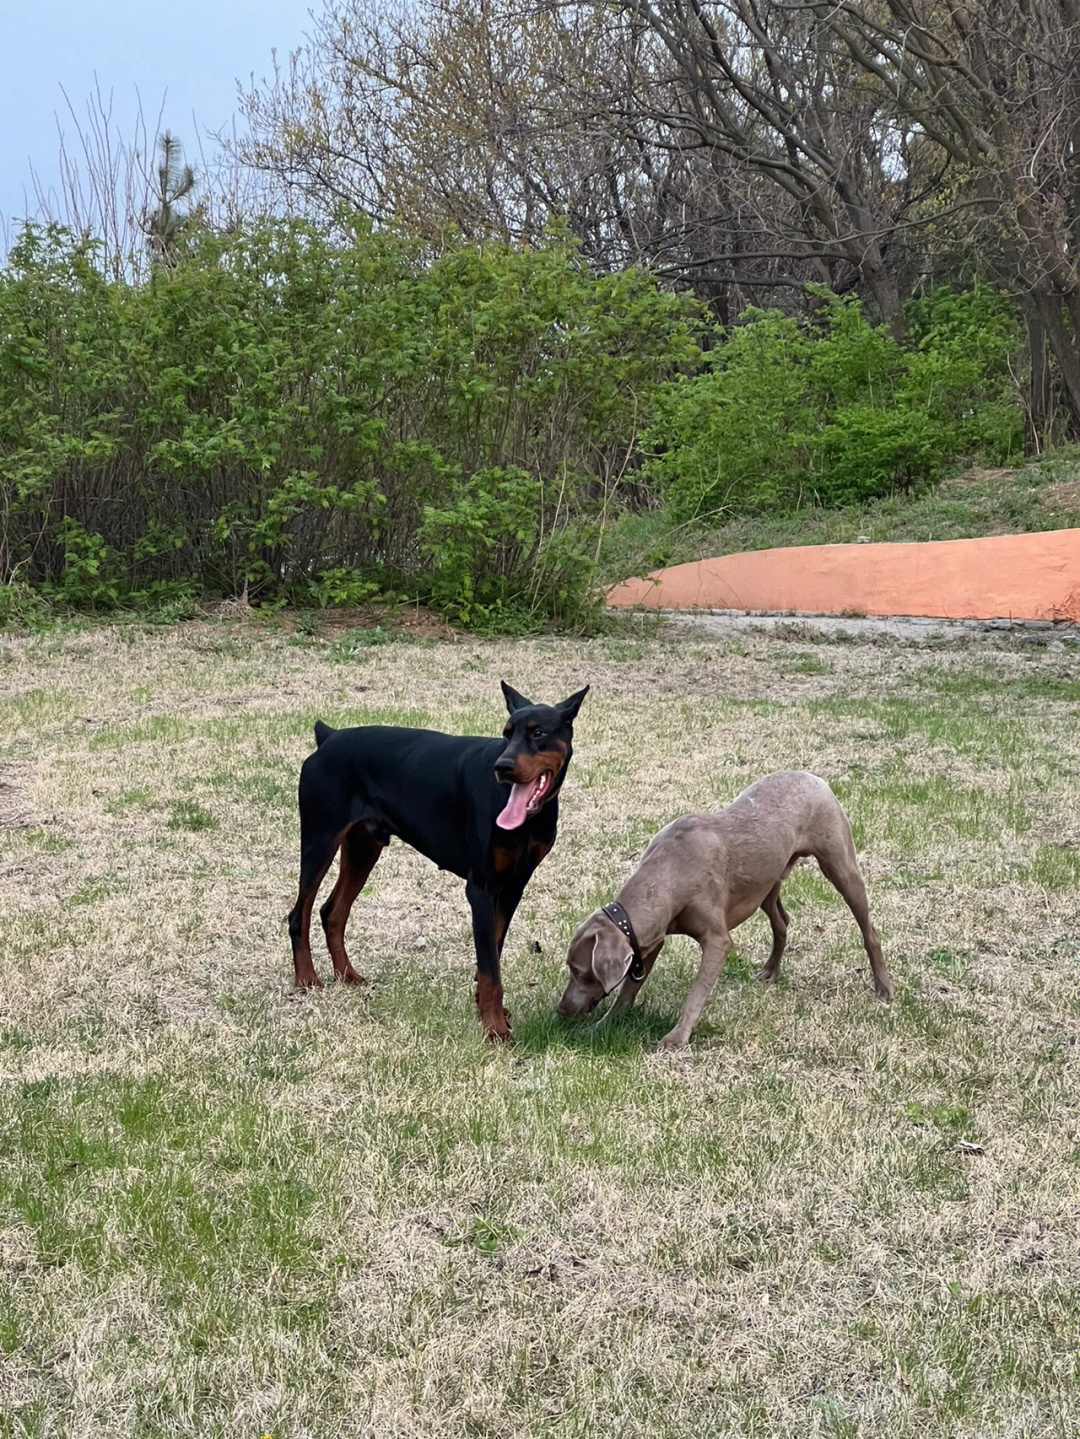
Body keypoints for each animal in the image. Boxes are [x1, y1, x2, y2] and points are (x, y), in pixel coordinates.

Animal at [291, 682, 586, 1036]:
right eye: (506, 734)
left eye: (538, 732)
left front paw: (488, 1010)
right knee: (299, 913)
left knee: (332, 911)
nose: (502, 767)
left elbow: (493, 951)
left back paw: (347, 975)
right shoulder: (481, 888)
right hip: (319, 840)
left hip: (364, 846)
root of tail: (328, 737)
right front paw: (494, 1028)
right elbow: (490, 966)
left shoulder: (513, 886)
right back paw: (307, 979)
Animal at [560, 777, 891, 1047]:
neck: (670, 871)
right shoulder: (651, 939)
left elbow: (696, 992)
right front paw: (603, 1025)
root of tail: (815, 777)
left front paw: (676, 1038)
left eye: (579, 971)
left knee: (869, 931)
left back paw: (884, 990)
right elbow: (629, 989)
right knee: (781, 922)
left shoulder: (717, 940)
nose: (561, 1010)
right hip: (765, 884)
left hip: (840, 865)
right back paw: (770, 972)